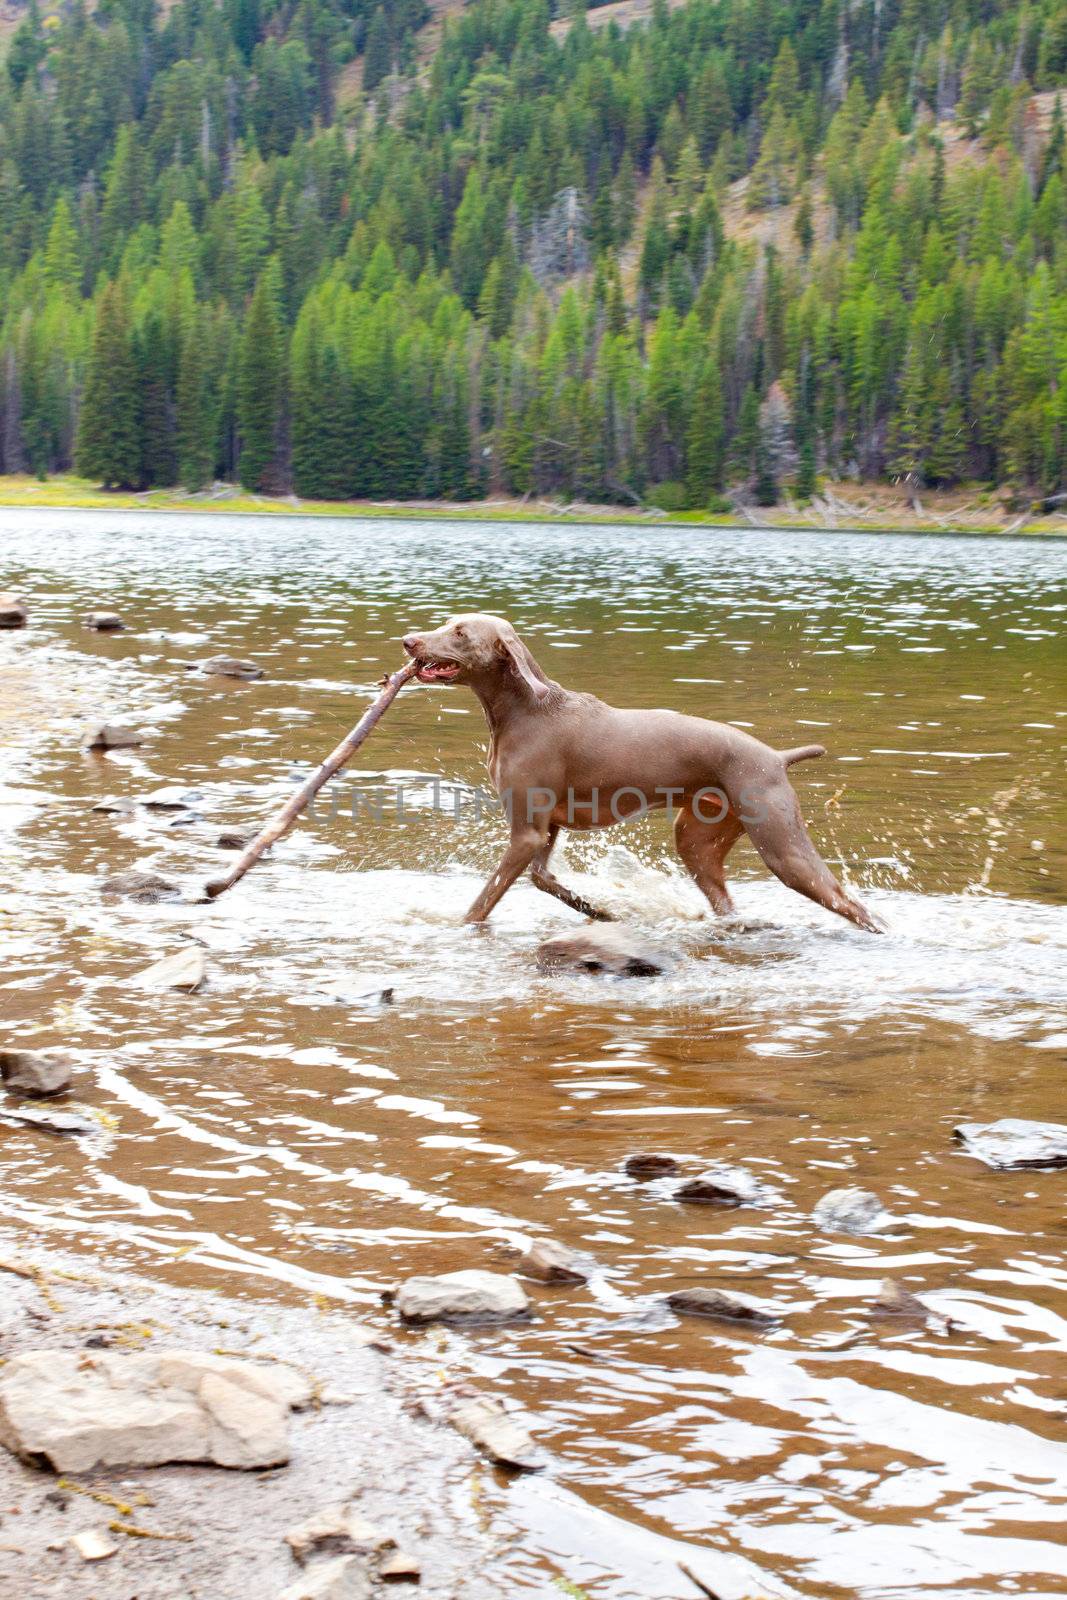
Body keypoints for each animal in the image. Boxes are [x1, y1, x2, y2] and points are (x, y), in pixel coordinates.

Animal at [403, 614, 883, 934]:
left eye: (460, 633)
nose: (408, 640)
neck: (524, 709)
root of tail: (777, 757)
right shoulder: (545, 830)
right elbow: (545, 881)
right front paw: (603, 912)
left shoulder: (525, 833)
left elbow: (484, 901)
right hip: (697, 841)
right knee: (725, 900)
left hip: (783, 848)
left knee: (851, 904)